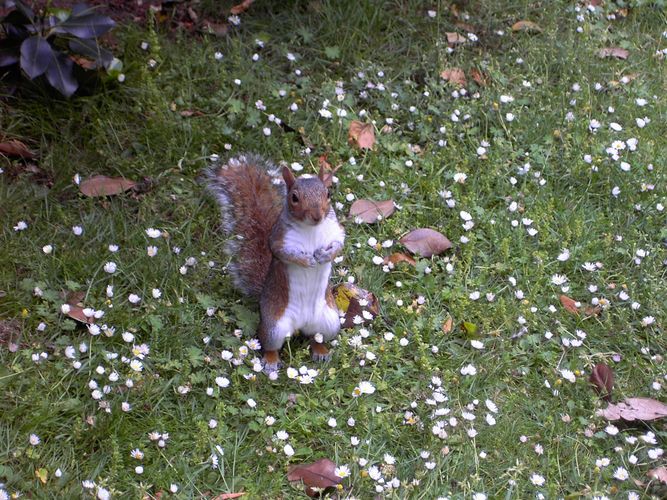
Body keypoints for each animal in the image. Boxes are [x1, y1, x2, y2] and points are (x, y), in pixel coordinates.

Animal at [205, 154, 348, 374]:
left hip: (330, 322)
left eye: (328, 194)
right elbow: (286, 254)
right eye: (294, 198)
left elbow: (339, 246)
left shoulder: (335, 232)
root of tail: (301, 325)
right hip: (274, 327)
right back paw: (271, 362)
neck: (311, 229)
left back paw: (321, 352)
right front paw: (306, 260)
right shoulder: (280, 240)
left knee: (315, 338)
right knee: (271, 345)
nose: (317, 216)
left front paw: (324, 256)